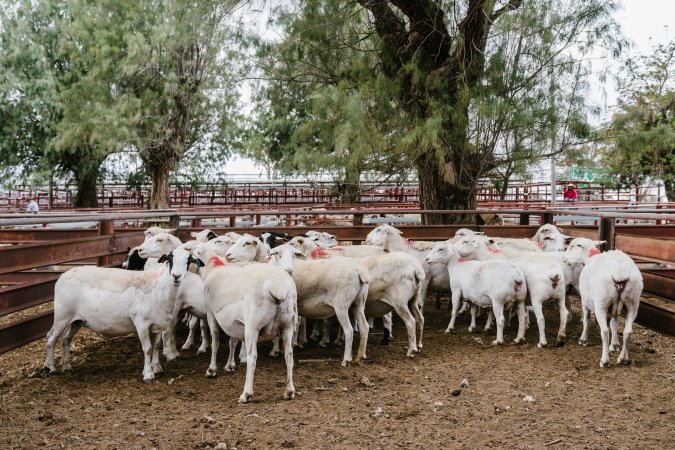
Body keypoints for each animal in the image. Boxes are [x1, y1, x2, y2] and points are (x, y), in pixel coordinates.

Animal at [44, 250, 194, 380]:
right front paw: (148, 374)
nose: (176, 276)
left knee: (66, 339)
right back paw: (49, 367)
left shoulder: (157, 324)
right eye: (170, 259)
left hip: (77, 320)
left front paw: (157, 369)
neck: (158, 288)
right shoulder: (141, 323)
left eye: (188, 261)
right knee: (52, 337)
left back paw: (66, 365)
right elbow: (147, 349)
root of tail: (62, 276)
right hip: (63, 315)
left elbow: (156, 346)